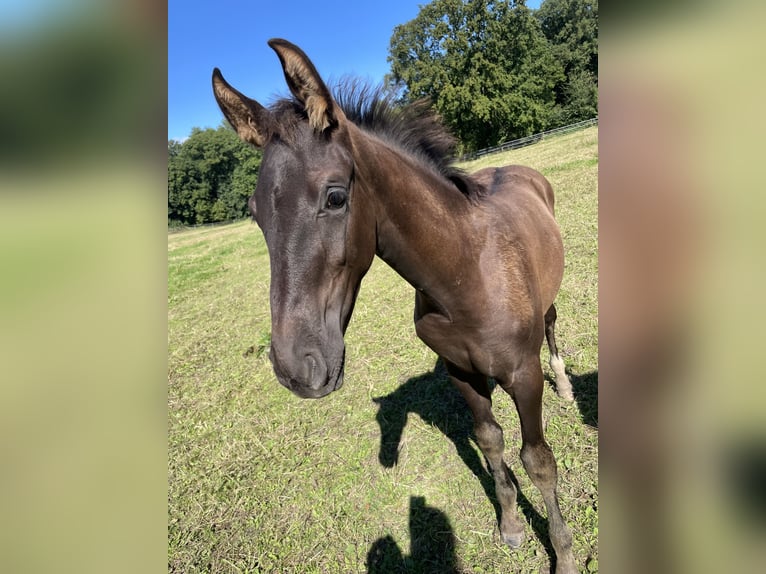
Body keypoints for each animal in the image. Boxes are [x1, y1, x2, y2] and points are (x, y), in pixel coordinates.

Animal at [214, 40, 576, 574]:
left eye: (335, 197)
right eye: (256, 212)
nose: (297, 369)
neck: (465, 272)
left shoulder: (524, 376)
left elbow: (539, 461)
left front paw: (563, 553)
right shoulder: (459, 370)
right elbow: (490, 440)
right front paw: (511, 525)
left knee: (551, 324)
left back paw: (567, 386)